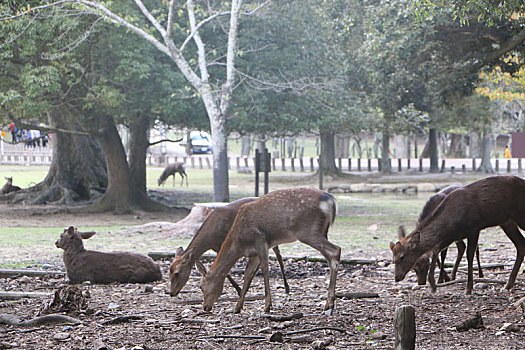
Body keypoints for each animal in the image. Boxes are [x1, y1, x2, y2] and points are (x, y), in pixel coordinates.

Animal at [198, 189, 340, 314]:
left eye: (202, 286)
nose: (205, 307)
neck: (239, 243)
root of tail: (330, 201)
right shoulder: (253, 253)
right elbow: (248, 274)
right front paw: (237, 307)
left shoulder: (260, 240)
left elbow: (265, 270)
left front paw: (267, 306)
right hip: (322, 231)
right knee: (329, 258)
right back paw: (329, 303)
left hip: (307, 231)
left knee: (336, 250)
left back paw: (329, 304)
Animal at [388, 176, 524, 294]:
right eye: (393, 259)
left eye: (402, 257)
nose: (397, 277)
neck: (451, 222)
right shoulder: (452, 235)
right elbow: (437, 249)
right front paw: (434, 284)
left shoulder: (473, 228)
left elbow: (469, 255)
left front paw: (468, 288)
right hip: (507, 222)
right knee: (521, 244)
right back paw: (508, 285)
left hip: (519, 215)